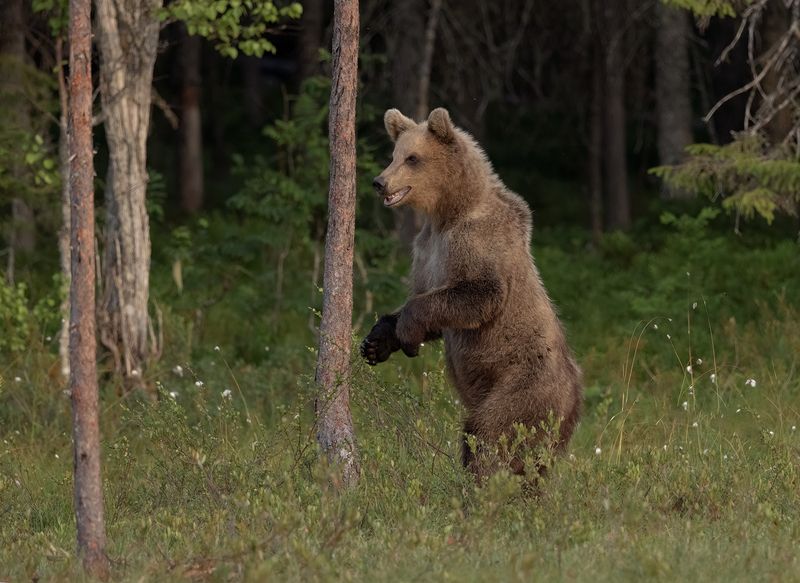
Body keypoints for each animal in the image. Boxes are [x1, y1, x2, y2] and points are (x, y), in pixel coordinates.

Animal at [361, 107, 582, 480]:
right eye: (394, 155)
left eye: (412, 158)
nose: (379, 182)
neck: (447, 213)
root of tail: (576, 395)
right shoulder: (426, 251)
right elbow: (431, 303)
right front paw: (376, 342)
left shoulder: (476, 241)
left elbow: (479, 295)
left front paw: (407, 331)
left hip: (523, 386)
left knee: (490, 434)